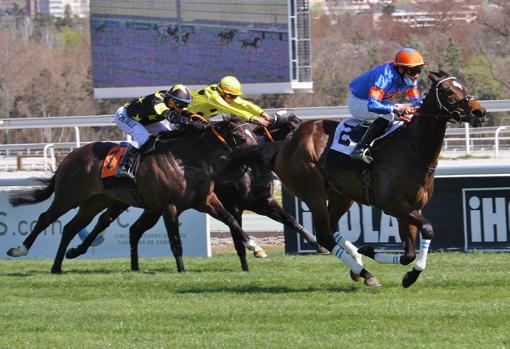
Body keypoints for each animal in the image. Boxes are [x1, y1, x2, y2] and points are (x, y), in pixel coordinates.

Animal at [6, 121, 262, 274]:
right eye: (241, 136)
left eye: (252, 133)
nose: (259, 154)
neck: (184, 160)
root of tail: (69, 157)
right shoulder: (168, 206)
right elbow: (175, 241)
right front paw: (181, 270)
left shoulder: (205, 201)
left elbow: (231, 219)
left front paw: (254, 246)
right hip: (69, 196)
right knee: (45, 219)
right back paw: (19, 250)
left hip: (94, 202)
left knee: (71, 228)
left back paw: (58, 265)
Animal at [222, 70, 486, 286]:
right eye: (449, 91)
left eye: (463, 86)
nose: (479, 111)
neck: (413, 149)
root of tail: (286, 142)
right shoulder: (393, 205)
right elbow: (428, 230)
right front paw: (407, 272)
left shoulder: (410, 207)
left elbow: (408, 254)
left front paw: (374, 253)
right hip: (312, 191)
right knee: (326, 235)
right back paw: (364, 272)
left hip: (341, 195)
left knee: (332, 228)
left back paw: (358, 263)